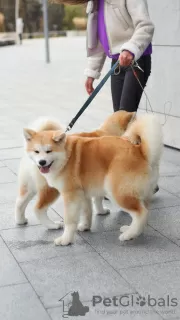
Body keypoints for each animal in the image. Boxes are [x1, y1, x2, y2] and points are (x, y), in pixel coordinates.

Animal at [20, 113, 163, 245]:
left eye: (49, 151)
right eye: (36, 151)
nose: (42, 162)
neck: (67, 156)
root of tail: (140, 151)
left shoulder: (72, 196)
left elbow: (70, 220)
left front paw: (66, 239)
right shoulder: (83, 192)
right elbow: (87, 211)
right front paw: (85, 226)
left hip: (117, 192)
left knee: (141, 213)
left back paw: (129, 234)